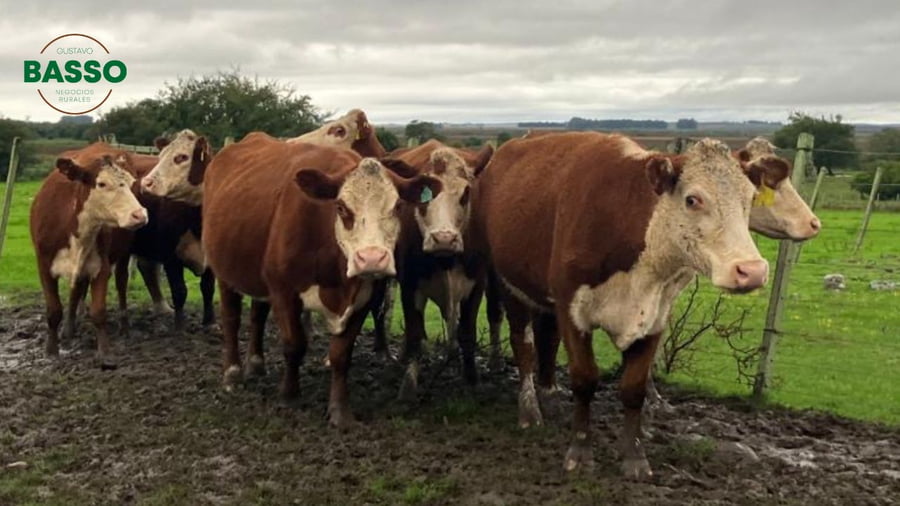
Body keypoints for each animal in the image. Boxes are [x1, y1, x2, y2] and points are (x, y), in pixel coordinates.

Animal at [30, 154, 148, 363]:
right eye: (101, 183)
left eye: (130, 183)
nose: (139, 215)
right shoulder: (44, 266)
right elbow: (54, 310)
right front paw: (51, 350)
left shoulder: (101, 267)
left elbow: (98, 311)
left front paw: (105, 352)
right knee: (76, 290)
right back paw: (69, 329)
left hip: (123, 255)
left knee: (121, 283)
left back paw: (124, 325)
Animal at [200, 133, 441, 426]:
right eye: (341, 207)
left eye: (397, 206)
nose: (372, 258)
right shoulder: (284, 291)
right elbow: (294, 344)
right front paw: (289, 395)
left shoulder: (364, 296)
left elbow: (341, 355)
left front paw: (340, 411)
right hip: (225, 272)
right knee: (232, 318)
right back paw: (232, 373)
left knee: (257, 315)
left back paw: (256, 364)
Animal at [371, 140, 493, 398]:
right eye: (422, 194)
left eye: (466, 193)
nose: (444, 239)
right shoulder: (409, 285)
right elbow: (414, 331)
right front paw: (409, 384)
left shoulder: (477, 284)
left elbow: (467, 331)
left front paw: (472, 379)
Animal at [471, 133, 768, 479]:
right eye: (693, 199)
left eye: (750, 198)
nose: (752, 270)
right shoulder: (572, 309)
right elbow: (585, 378)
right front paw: (580, 452)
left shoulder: (655, 315)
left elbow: (634, 388)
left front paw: (634, 456)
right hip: (509, 285)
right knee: (524, 346)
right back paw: (530, 409)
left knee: (547, 338)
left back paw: (550, 394)